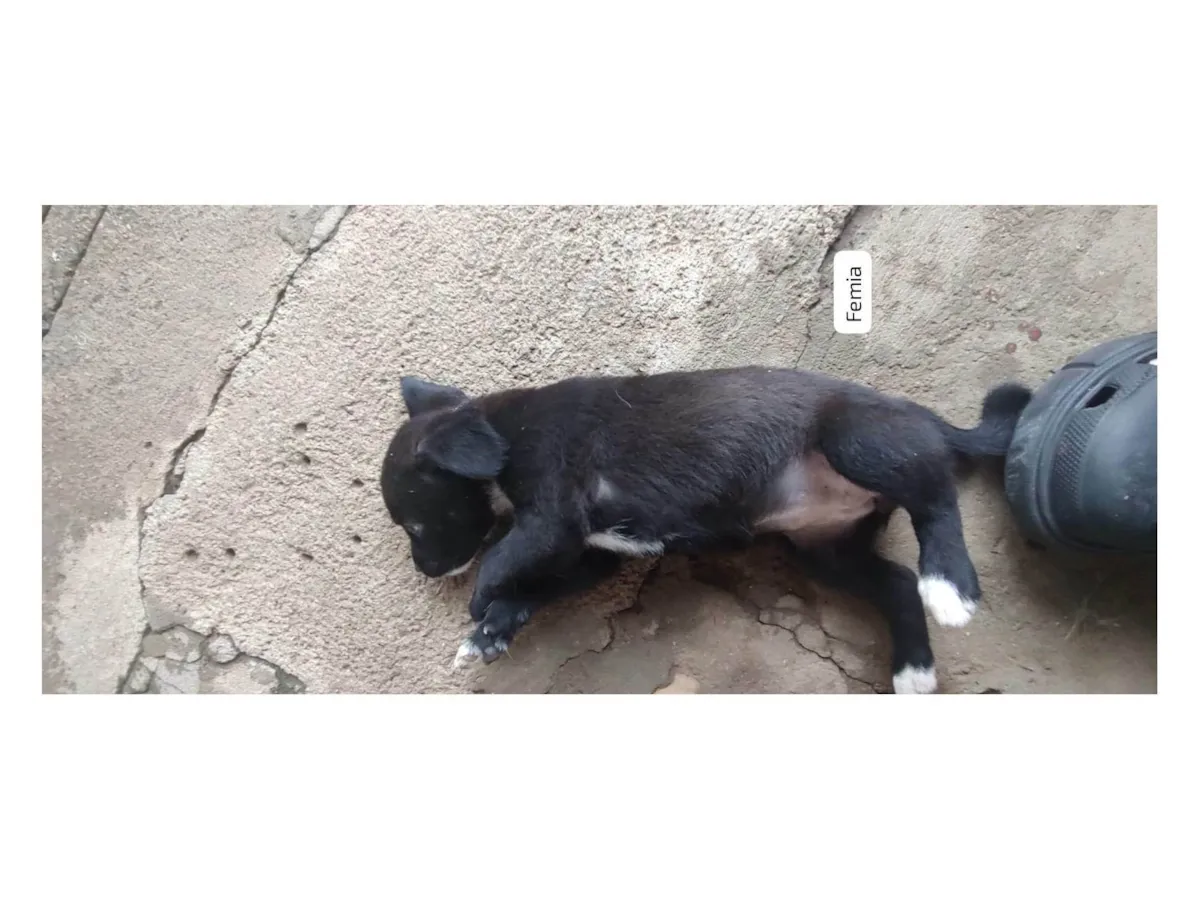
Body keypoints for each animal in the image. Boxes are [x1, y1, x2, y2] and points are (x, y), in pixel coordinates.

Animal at [380, 366, 1032, 693]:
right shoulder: (592, 553)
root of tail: (925, 418)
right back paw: (913, 671)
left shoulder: (552, 514)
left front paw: (480, 604)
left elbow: (503, 558)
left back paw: (949, 585)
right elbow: (538, 586)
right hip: (825, 549)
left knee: (938, 497)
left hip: (857, 440)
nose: (425, 571)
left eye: (416, 520)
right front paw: (492, 629)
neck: (501, 433)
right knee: (895, 581)